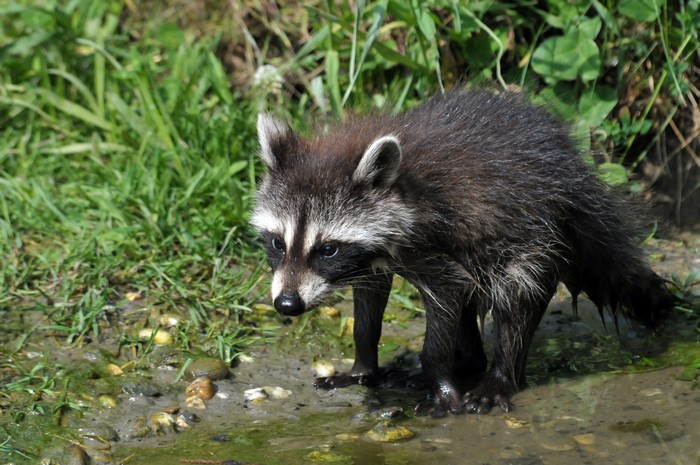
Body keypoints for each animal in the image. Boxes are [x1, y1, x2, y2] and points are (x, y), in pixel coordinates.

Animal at [250, 90, 676, 417]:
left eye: (328, 249)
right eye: (278, 243)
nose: (286, 305)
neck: (401, 186)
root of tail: (578, 173)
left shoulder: (435, 245)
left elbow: (447, 301)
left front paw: (440, 377)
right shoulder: (374, 259)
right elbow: (369, 308)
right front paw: (362, 365)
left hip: (537, 234)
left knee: (516, 298)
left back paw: (499, 375)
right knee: (473, 300)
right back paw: (469, 362)